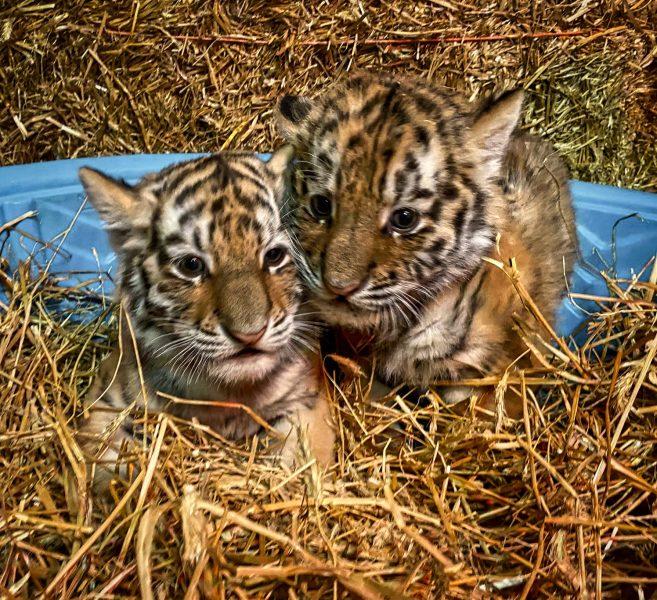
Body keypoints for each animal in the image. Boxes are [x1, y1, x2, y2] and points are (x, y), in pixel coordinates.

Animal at [77, 148, 335, 484]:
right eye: (191, 265)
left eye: (275, 256)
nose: (250, 333)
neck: (231, 394)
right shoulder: (107, 400)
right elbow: (104, 459)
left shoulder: (306, 401)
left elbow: (301, 465)